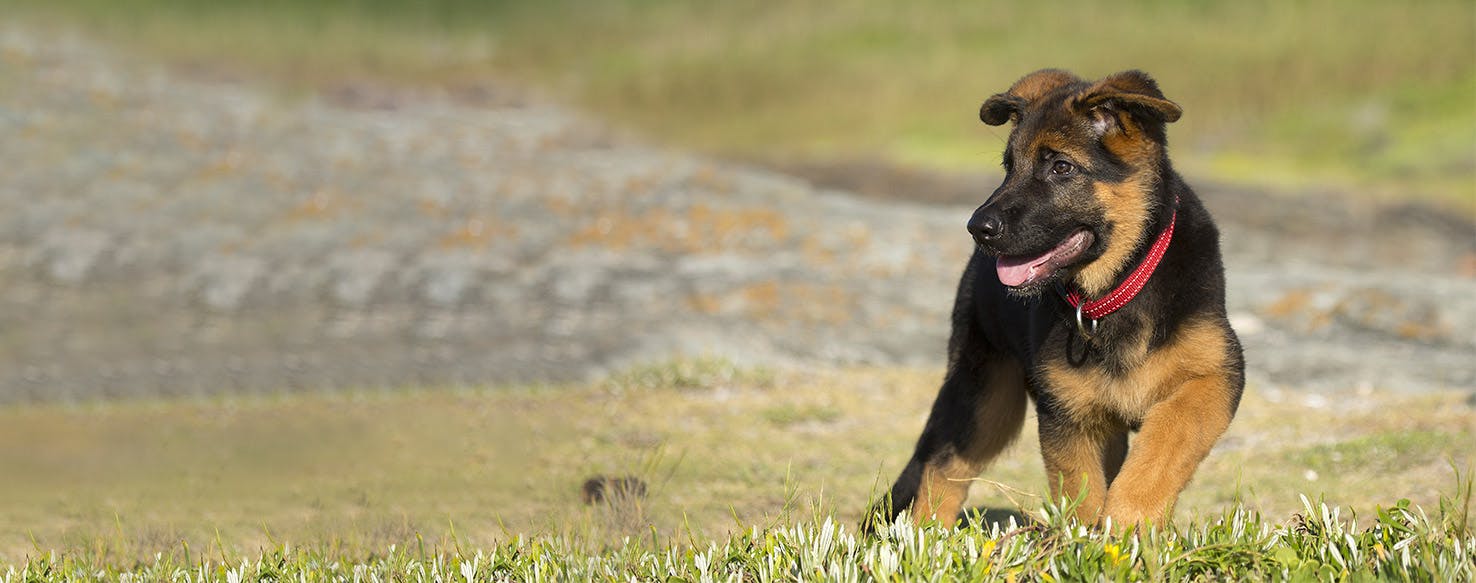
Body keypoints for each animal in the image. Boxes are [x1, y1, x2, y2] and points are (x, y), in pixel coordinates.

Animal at [873, 68, 1245, 528]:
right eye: (1009, 167)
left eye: (1061, 167)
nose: (978, 227)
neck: (1116, 290)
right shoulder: (1066, 414)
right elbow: (1080, 493)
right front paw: (1089, 539)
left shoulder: (1215, 378)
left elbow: (1166, 439)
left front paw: (1128, 522)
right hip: (983, 397)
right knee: (942, 468)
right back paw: (928, 537)